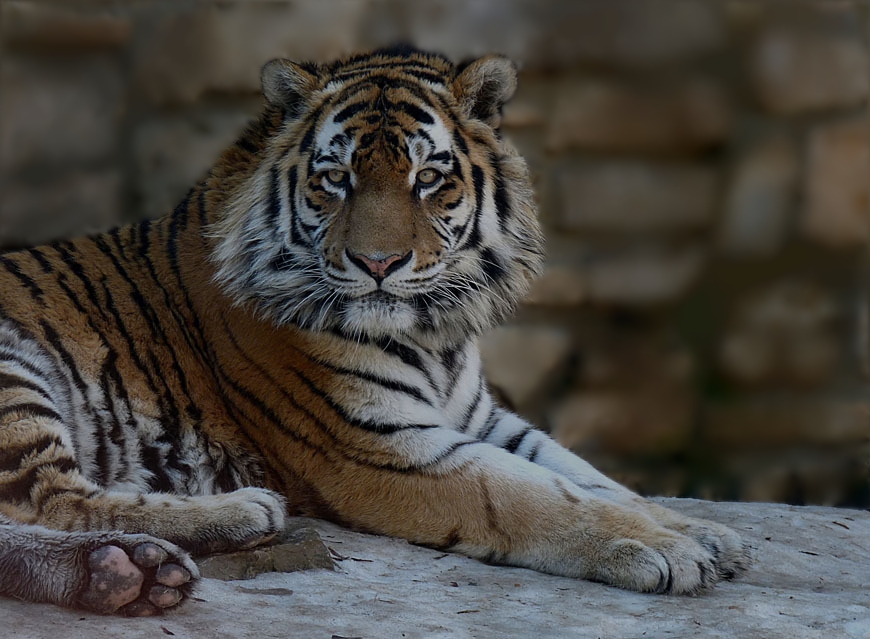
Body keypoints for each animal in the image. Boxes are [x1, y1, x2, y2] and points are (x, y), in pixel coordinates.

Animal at [0, 47, 748, 616]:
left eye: (429, 178)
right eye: (336, 178)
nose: (379, 263)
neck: (436, 332)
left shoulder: (483, 416)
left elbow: (590, 477)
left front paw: (708, 532)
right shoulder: (375, 446)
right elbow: (530, 497)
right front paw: (663, 549)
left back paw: (134, 567)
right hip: (16, 372)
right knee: (53, 500)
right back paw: (231, 517)